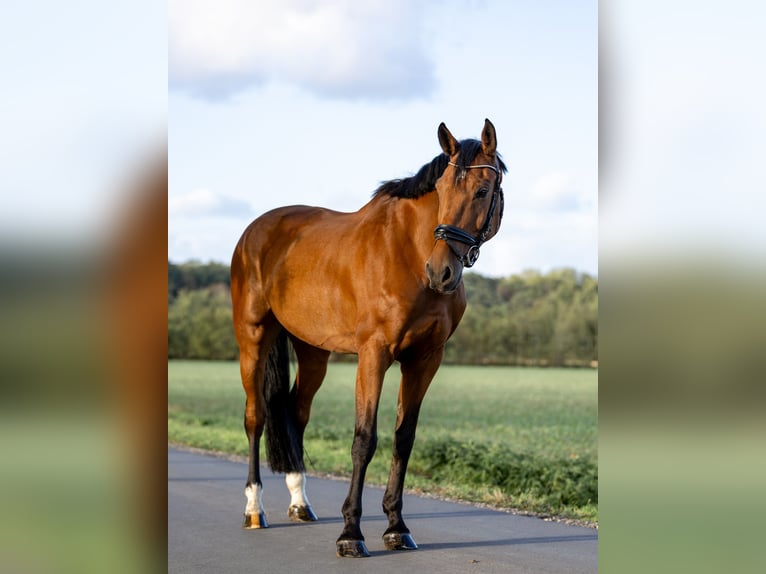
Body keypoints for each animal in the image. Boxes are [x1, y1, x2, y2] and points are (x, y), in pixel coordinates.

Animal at [230, 119, 506, 557]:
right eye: (442, 190)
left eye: (482, 191)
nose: (441, 272)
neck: (408, 254)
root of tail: (255, 231)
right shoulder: (373, 354)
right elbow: (364, 439)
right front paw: (350, 534)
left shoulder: (425, 359)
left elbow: (403, 439)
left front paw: (396, 527)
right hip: (252, 339)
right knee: (255, 417)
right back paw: (255, 509)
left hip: (313, 352)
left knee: (294, 412)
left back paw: (299, 502)